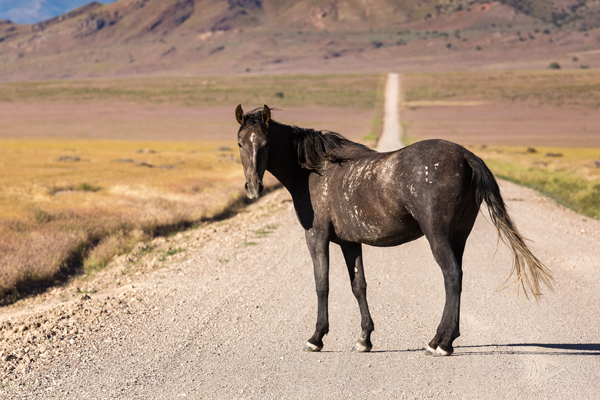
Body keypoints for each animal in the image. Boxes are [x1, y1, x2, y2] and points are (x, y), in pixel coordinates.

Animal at [234, 103, 552, 356]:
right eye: (240, 143)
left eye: (265, 143)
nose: (253, 188)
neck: (313, 170)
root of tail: (465, 156)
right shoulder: (349, 242)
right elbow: (358, 286)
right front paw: (364, 339)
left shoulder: (316, 237)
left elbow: (321, 285)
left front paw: (316, 338)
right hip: (459, 236)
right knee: (458, 278)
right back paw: (446, 340)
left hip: (438, 236)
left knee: (451, 277)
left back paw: (439, 343)